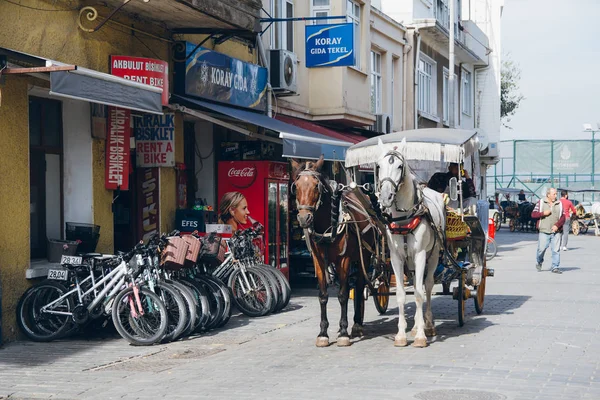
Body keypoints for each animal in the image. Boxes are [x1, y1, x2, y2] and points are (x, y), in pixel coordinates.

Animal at [290, 156, 380, 346]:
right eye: (296, 186)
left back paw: (356, 324)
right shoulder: (318, 261)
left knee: (359, 285)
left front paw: (344, 332)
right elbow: (323, 295)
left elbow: (343, 295)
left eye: (316, 186)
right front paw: (323, 333)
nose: (303, 218)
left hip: (364, 256)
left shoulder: (344, 259)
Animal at [376, 139, 446, 346]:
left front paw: (421, 336)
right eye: (378, 166)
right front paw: (401, 335)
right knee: (417, 283)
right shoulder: (396, 258)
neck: (404, 218)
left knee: (427, 286)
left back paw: (428, 325)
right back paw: (415, 326)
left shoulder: (421, 255)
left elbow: (419, 294)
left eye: (400, 166)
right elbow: (401, 294)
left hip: (433, 255)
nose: (385, 196)